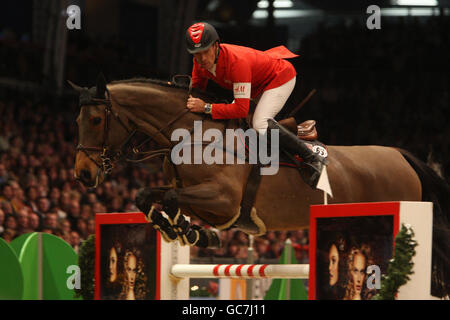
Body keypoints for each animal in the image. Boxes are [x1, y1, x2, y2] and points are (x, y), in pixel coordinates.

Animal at [71, 73, 450, 298]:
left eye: (95, 119)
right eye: (77, 120)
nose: (83, 175)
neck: (192, 135)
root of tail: (402, 156)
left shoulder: (223, 201)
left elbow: (171, 196)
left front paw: (187, 231)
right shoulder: (202, 200)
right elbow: (148, 196)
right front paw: (186, 231)